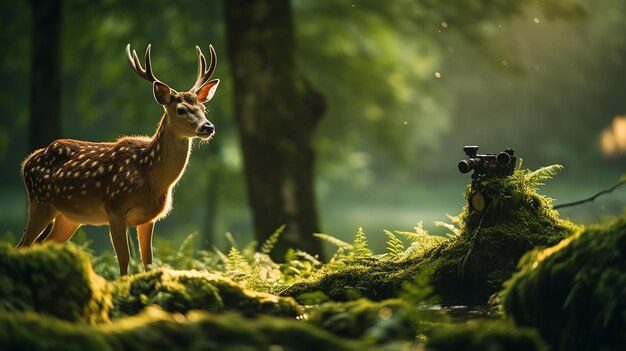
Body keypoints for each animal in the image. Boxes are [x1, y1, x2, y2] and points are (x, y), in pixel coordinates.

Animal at [15, 44, 219, 276]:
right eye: (181, 110)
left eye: (203, 109)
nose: (208, 127)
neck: (150, 178)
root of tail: (27, 162)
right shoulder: (115, 208)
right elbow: (124, 259)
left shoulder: (149, 218)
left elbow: (148, 260)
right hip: (40, 201)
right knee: (23, 245)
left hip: (68, 217)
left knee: (42, 245)